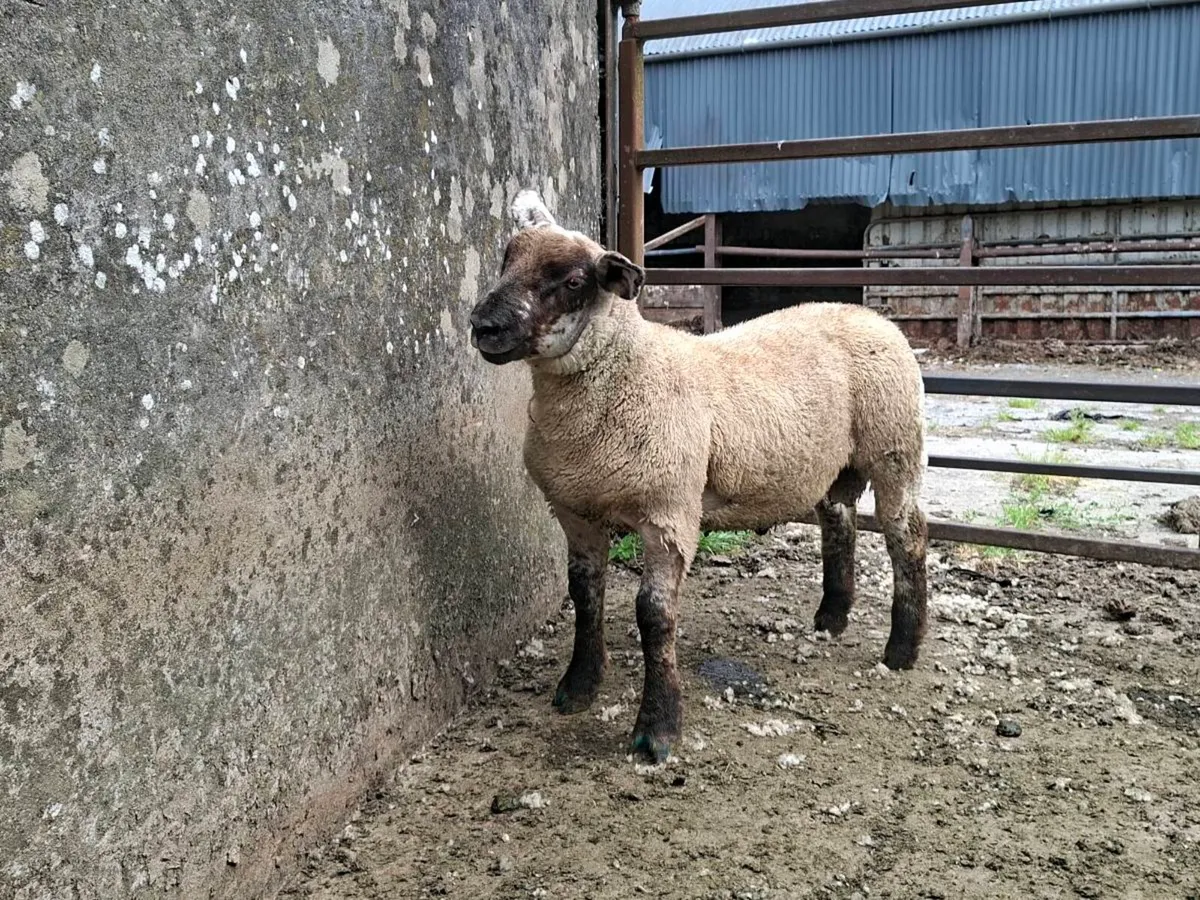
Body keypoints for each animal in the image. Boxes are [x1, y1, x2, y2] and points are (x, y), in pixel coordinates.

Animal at [469, 190, 929, 762]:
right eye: (507, 260)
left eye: (574, 281)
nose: (483, 326)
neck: (625, 372)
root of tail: (871, 315)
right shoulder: (575, 511)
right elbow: (584, 595)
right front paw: (578, 687)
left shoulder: (669, 513)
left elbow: (653, 616)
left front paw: (657, 730)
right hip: (831, 464)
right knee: (839, 521)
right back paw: (831, 618)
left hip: (895, 446)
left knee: (905, 535)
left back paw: (902, 648)